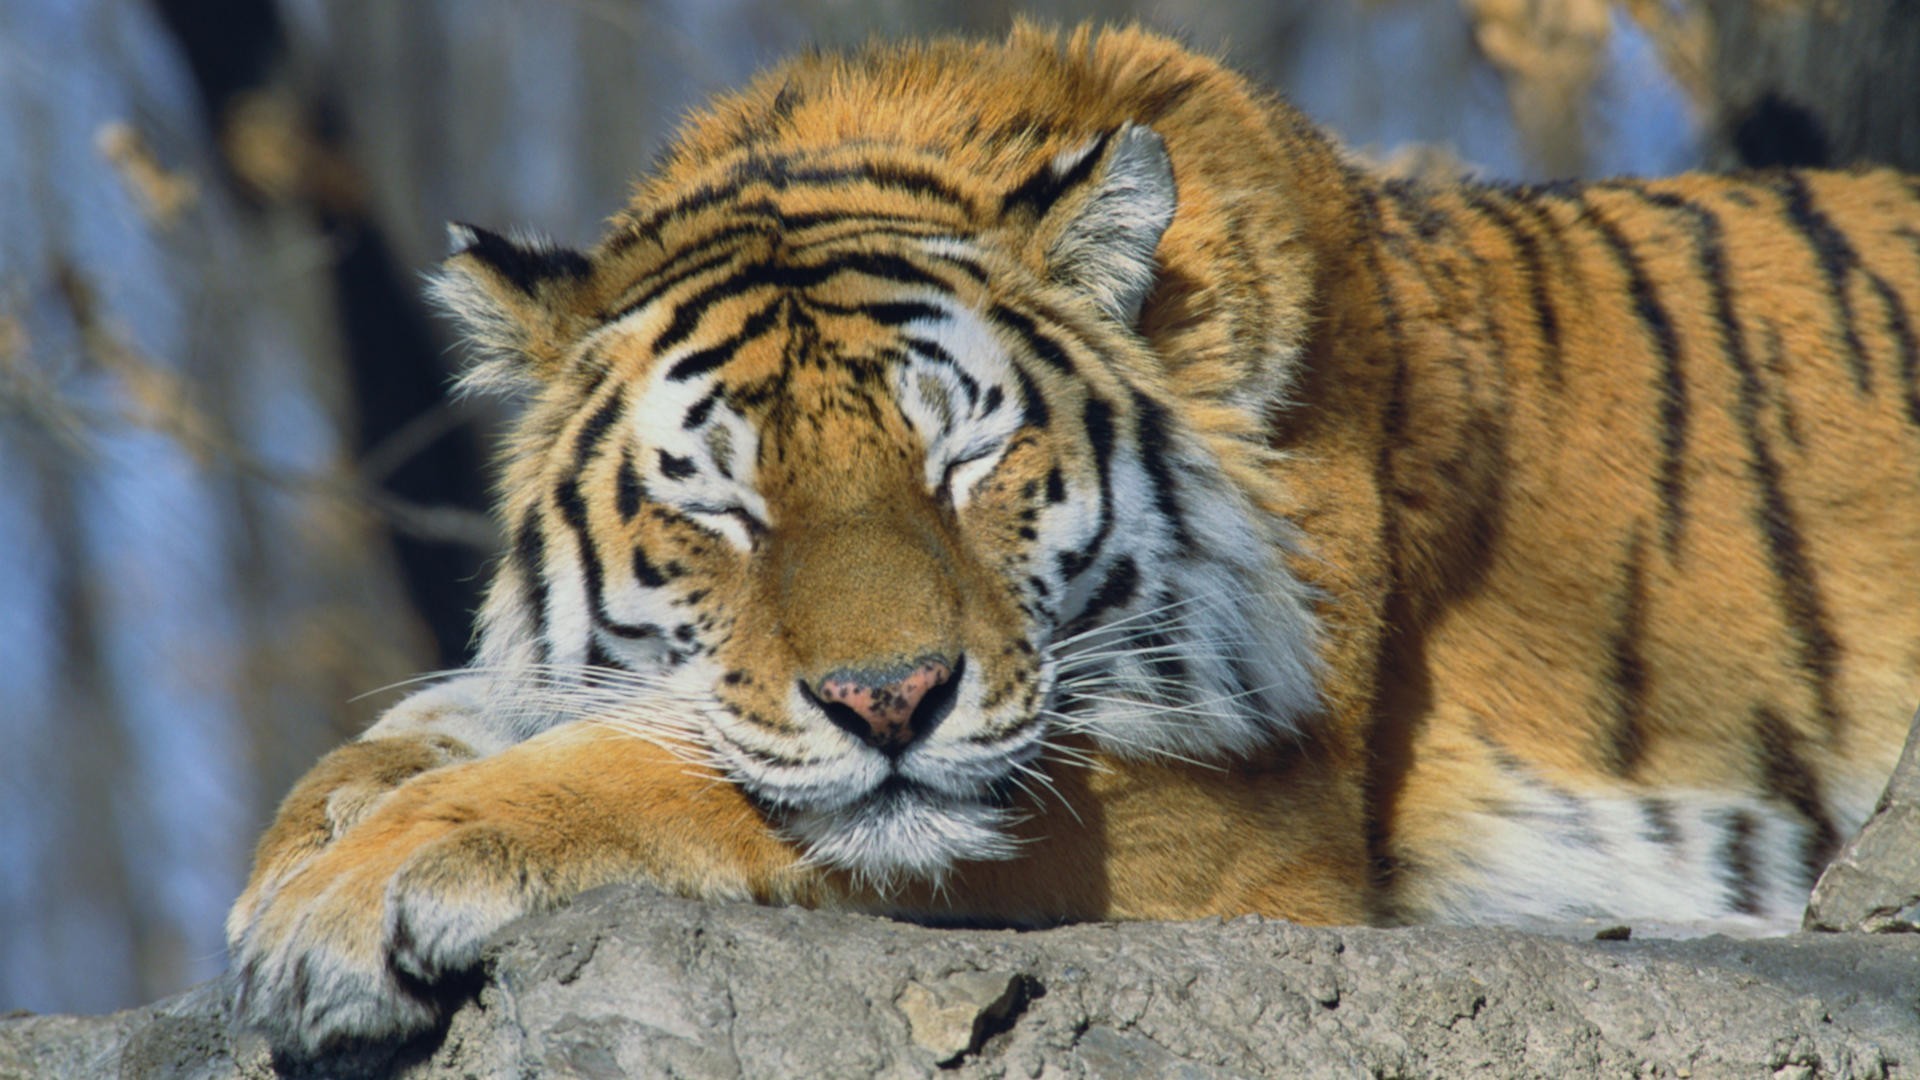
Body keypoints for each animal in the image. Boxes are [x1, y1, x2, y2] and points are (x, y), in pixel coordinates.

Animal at [225, 22, 1920, 1061]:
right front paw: (307, 850)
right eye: (722, 505)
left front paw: (342, 904)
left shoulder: (1240, 820)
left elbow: (663, 774)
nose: (891, 701)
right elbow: (468, 718)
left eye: (964, 459)